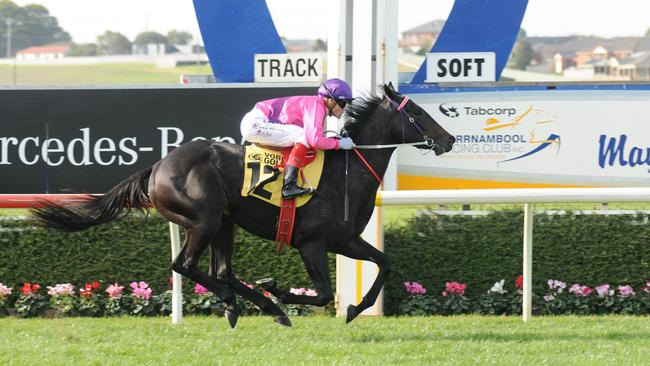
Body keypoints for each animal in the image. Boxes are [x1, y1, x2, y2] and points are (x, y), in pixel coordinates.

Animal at [33, 84, 454, 328]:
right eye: (417, 113)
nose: (448, 139)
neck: (346, 173)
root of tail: (158, 166)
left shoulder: (344, 240)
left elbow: (384, 263)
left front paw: (354, 309)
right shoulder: (312, 243)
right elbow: (320, 293)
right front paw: (281, 289)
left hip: (225, 223)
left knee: (221, 271)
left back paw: (254, 308)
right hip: (203, 219)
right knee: (185, 265)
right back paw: (253, 304)